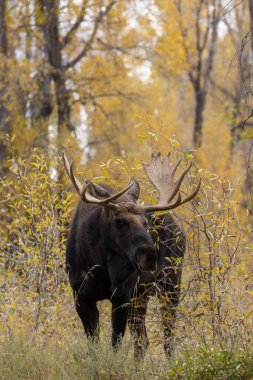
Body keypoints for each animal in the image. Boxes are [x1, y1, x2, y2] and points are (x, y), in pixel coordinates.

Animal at [62, 150, 200, 358]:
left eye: (145, 223)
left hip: (170, 285)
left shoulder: (122, 295)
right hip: (141, 296)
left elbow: (115, 345)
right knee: (143, 341)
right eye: (119, 221)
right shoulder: (81, 296)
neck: (98, 265)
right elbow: (94, 345)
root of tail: (179, 229)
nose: (150, 255)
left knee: (168, 340)